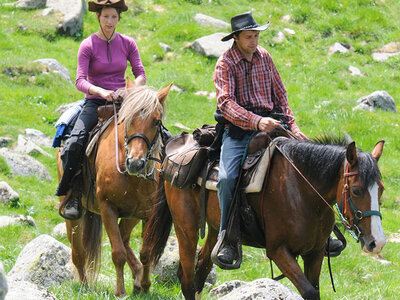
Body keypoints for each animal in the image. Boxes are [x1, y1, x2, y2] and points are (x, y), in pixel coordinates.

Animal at [55, 81, 170, 296]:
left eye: (156, 122)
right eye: (127, 119)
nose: (136, 163)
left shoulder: (146, 213)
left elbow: (146, 252)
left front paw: (145, 286)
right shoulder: (108, 208)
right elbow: (118, 253)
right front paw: (120, 292)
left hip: (131, 215)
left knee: (124, 240)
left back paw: (137, 277)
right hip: (73, 213)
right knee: (78, 252)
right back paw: (84, 286)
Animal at [142, 134, 386, 300]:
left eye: (381, 189)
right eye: (356, 190)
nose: (378, 242)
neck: (302, 192)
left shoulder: (315, 252)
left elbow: (314, 289)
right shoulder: (278, 251)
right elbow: (309, 291)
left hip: (214, 229)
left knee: (201, 268)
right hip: (186, 228)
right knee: (188, 280)